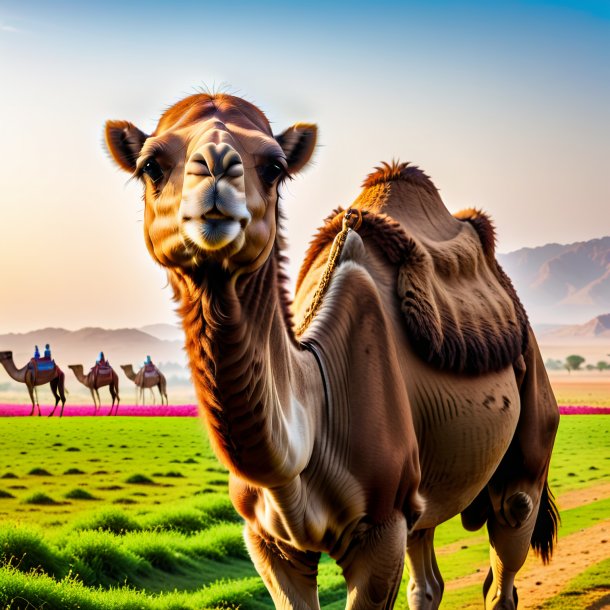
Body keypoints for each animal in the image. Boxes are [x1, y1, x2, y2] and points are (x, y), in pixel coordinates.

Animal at [104, 91, 556, 608]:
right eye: (152, 166)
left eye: (274, 167)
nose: (216, 168)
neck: (316, 408)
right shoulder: (267, 539)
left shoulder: (382, 529)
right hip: (423, 494)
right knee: (428, 582)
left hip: (526, 445)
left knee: (510, 537)